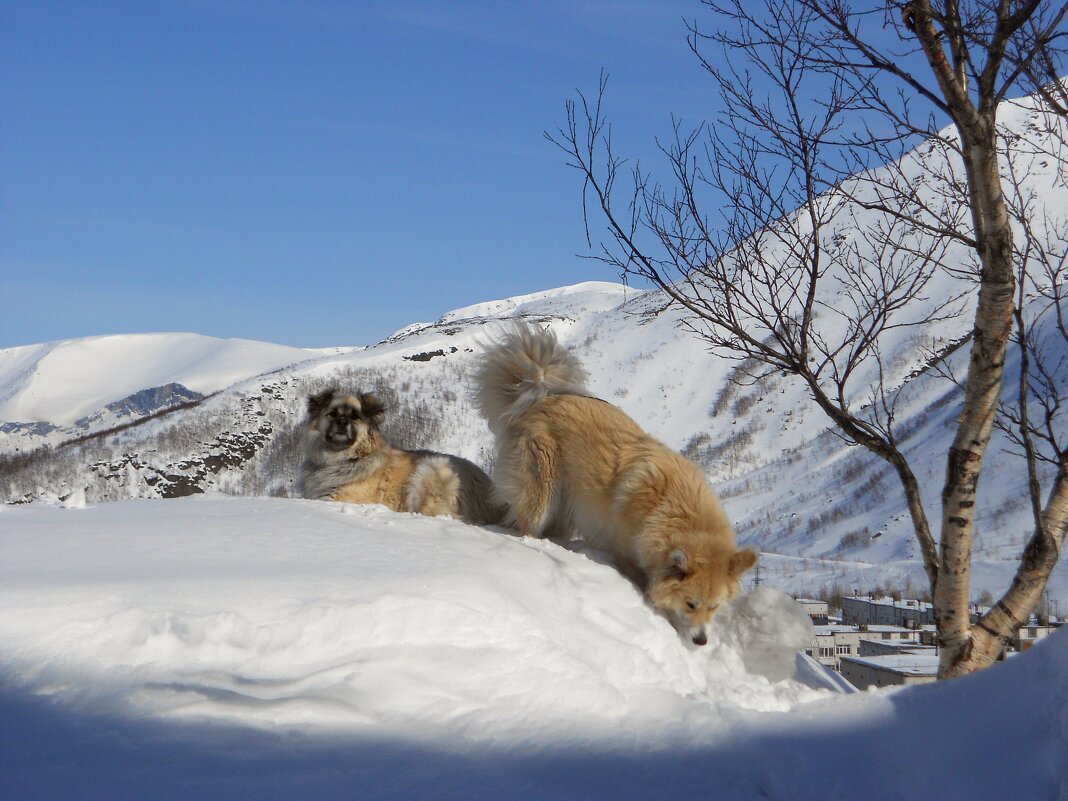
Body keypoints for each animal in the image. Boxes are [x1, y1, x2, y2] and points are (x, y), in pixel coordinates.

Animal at [296, 388, 504, 527]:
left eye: (355, 417)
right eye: (332, 414)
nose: (342, 421)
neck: (345, 458)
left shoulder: (340, 496)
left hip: (430, 471)